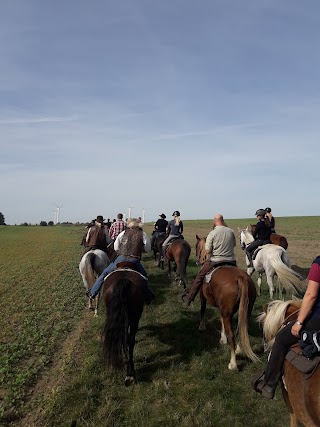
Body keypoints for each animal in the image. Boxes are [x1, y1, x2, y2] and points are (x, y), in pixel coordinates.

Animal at [194, 237, 258, 372]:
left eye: (197, 246)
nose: (197, 260)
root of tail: (241, 278)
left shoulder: (203, 297)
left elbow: (203, 309)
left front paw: (202, 326)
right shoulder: (222, 309)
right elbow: (221, 320)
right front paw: (222, 338)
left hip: (228, 312)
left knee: (232, 335)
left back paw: (233, 363)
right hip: (245, 310)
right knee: (242, 328)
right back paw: (239, 349)